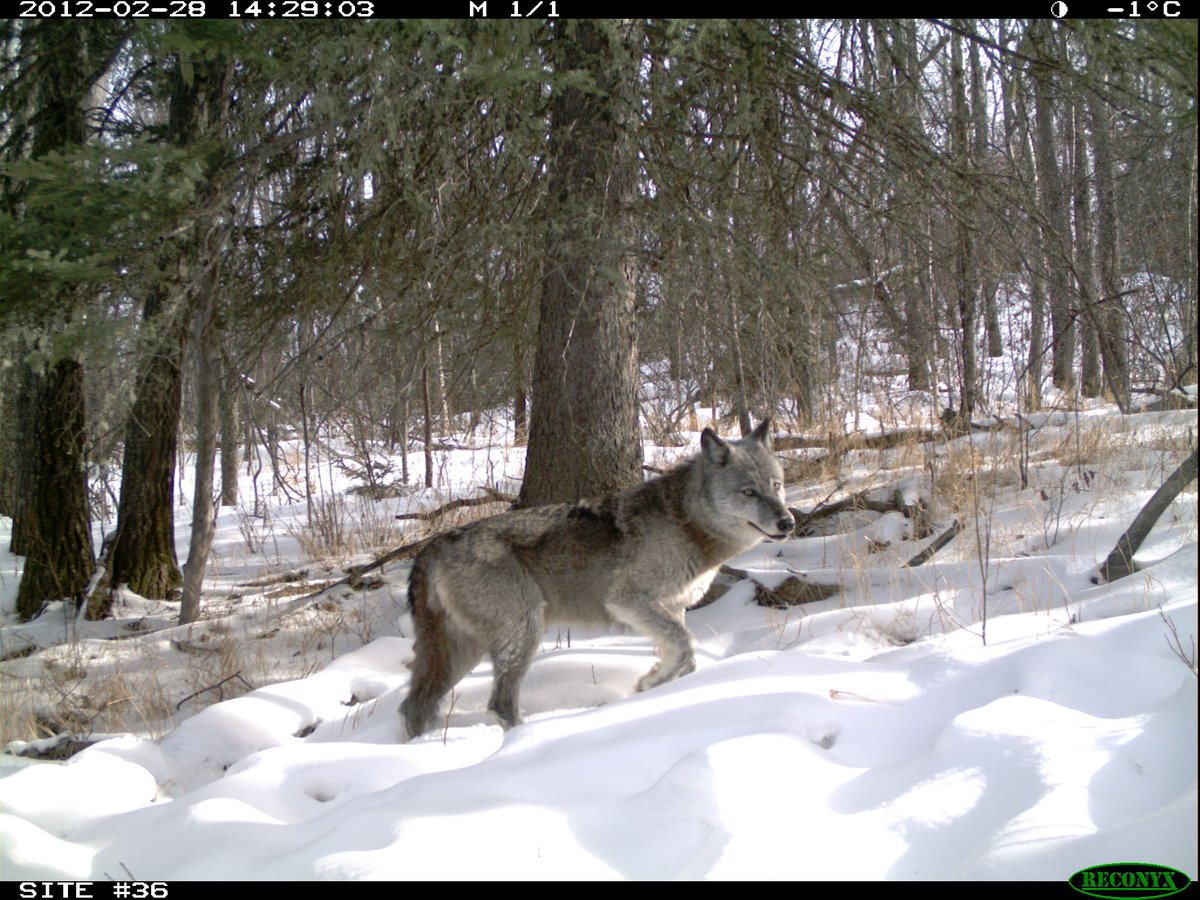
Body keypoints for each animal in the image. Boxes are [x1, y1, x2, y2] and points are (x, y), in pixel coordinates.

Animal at [403, 417, 796, 739]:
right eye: (749, 492)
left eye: (777, 485)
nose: (788, 522)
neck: (686, 523)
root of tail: (433, 545)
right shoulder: (627, 601)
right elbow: (686, 646)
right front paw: (650, 683)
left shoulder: (672, 609)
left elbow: (686, 657)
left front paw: (662, 688)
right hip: (521, 633)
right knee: (498, 705)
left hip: (463, 653)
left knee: (413, 707)